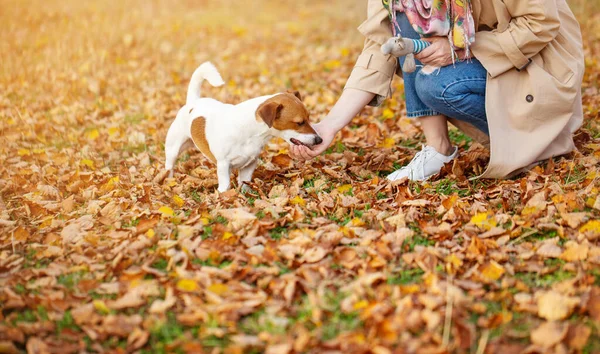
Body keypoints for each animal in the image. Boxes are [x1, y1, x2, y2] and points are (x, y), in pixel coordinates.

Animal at [164, 62, 322, 192]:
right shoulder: (223, 165)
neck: (249, 132)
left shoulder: (249, 164)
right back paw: (169, 180)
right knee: (169, 165)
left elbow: (245, 183)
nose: (319, 140)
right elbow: (225, 185)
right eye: (299, 122)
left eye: (309, 118)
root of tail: (193, 101)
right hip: (173, 148)